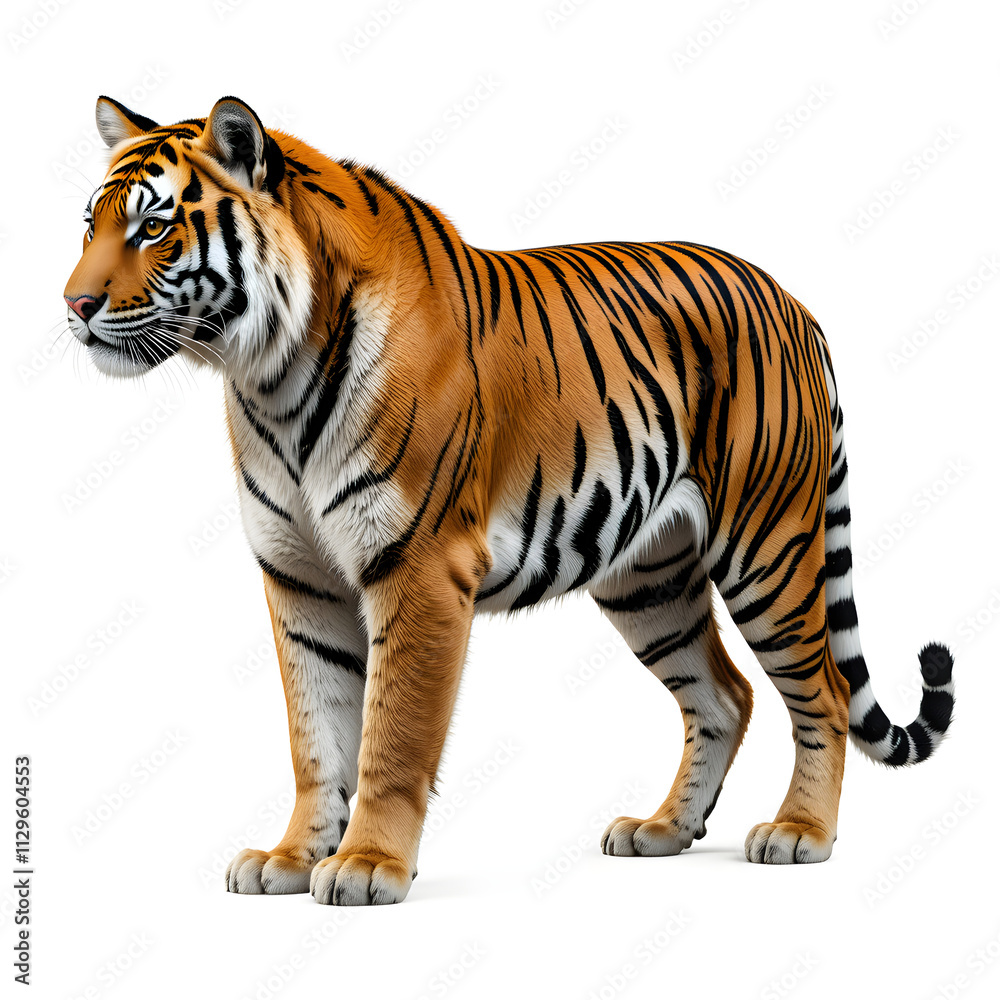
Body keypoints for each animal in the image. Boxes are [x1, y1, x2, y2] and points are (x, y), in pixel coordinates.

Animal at [64, 96, 955, 906]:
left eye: (153, 228)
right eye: (89, 225)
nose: (73, 306)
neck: (269, 378)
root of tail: (794, 304)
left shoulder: (419, 567)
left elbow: (392, 734)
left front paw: (365, 867)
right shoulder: (299, 578)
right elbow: (315, 735)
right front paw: (290, 858)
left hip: (768, 548)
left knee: (823, 693)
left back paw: (800, 833)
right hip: (649, 579)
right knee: (724, 695)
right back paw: (663, 830)